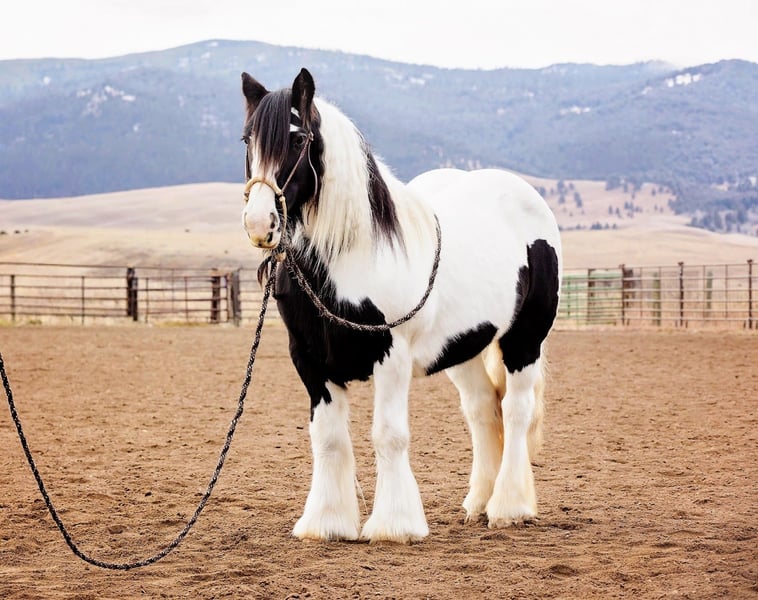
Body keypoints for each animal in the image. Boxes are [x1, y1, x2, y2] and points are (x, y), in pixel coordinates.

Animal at [240, 68, 562, 543]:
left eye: (298, 140)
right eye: (247, 139)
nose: (260, 224)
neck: (351, 257)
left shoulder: (390, 356)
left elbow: (389, 435)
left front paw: (395, 526)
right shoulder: (310, 361)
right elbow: (328, 438)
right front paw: (326, 522)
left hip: (525, 340)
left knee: (515, 411)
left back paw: (509, 507)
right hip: (462, 348)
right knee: (482, 410)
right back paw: (478, 503)